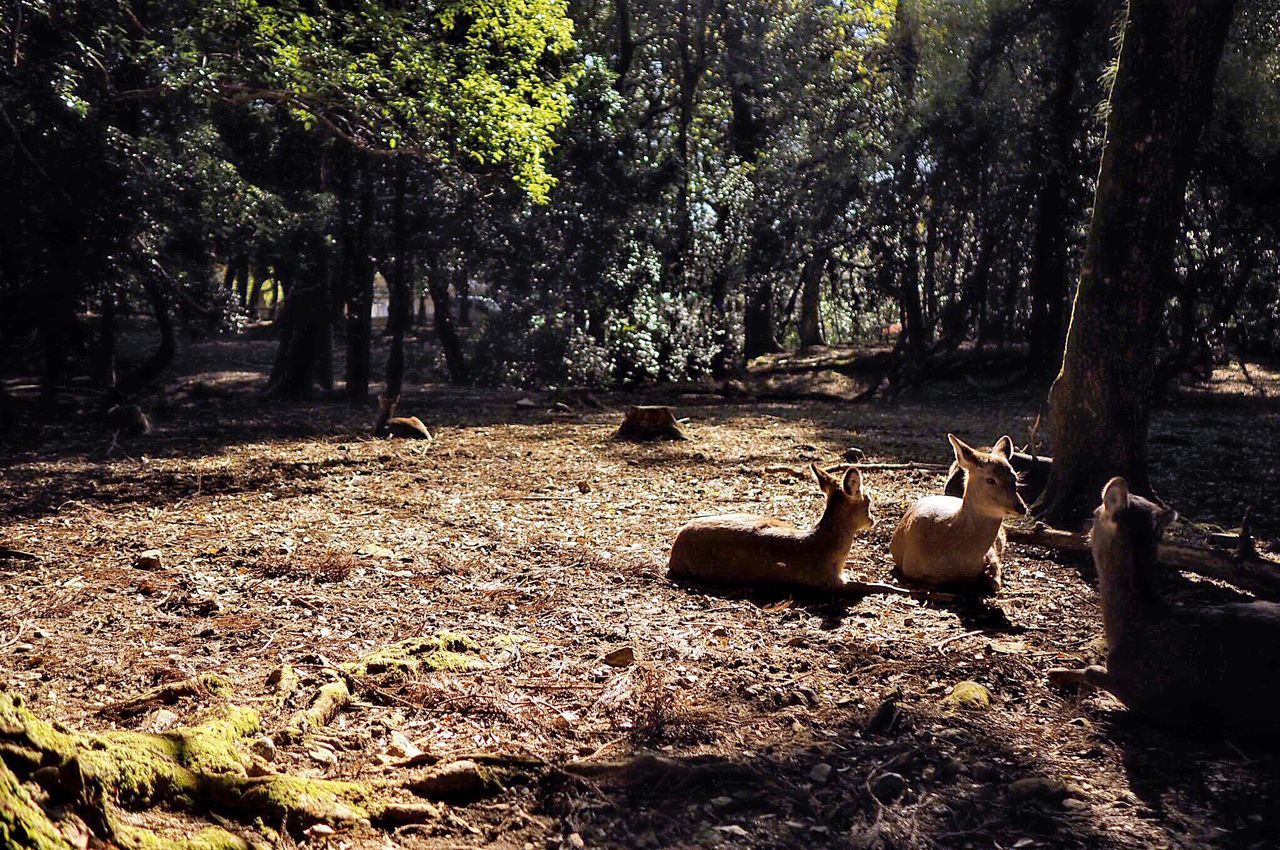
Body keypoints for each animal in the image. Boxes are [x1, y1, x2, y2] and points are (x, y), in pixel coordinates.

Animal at [890, 432, 1029, 591]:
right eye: (990, 480)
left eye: (1015, 478)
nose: (1021, 507)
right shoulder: (911, 567)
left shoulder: (992, 554)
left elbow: (995, 583)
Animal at [1049, 473, 1280, 742]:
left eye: (1096, 512)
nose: (1083, 523)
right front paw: (1059, 670)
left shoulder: (1164, 703)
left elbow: (1093, 670)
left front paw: (1059, 672)